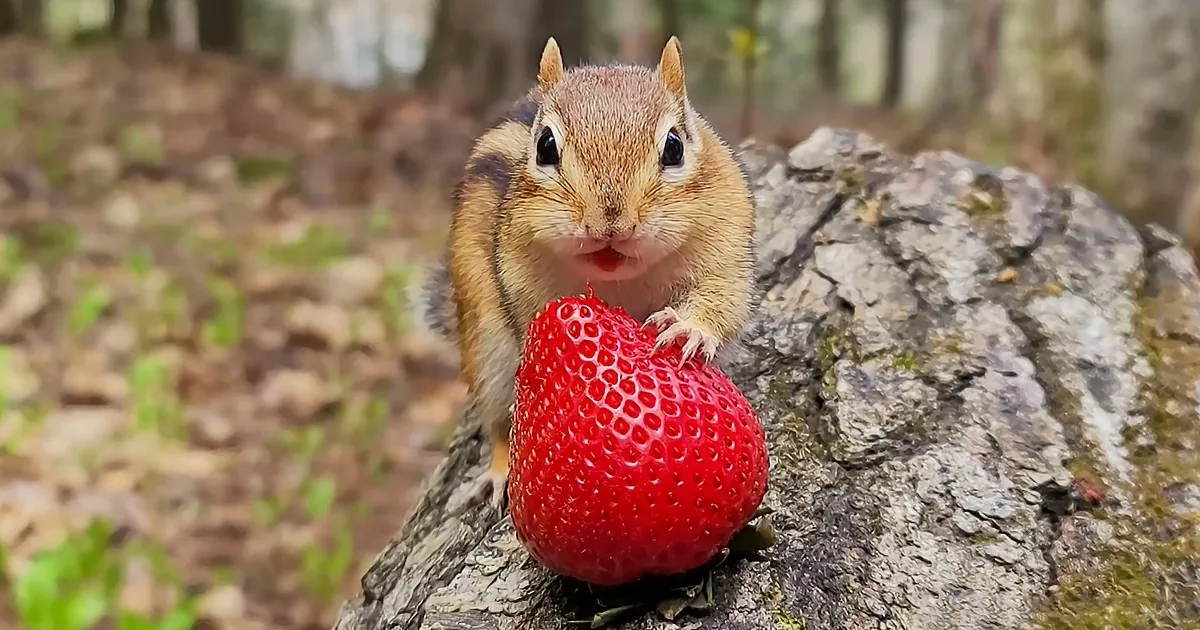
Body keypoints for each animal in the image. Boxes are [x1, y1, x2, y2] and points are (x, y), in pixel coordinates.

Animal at [415, 36, 758, 509]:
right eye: (545, 146)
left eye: (674, 146)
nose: (609, 226)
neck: (621, 283)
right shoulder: (523, 286)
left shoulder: (724, 248)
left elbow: (723, 300)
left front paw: (687, 328)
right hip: (485, 347)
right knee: (499, 420)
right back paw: (501, 471)